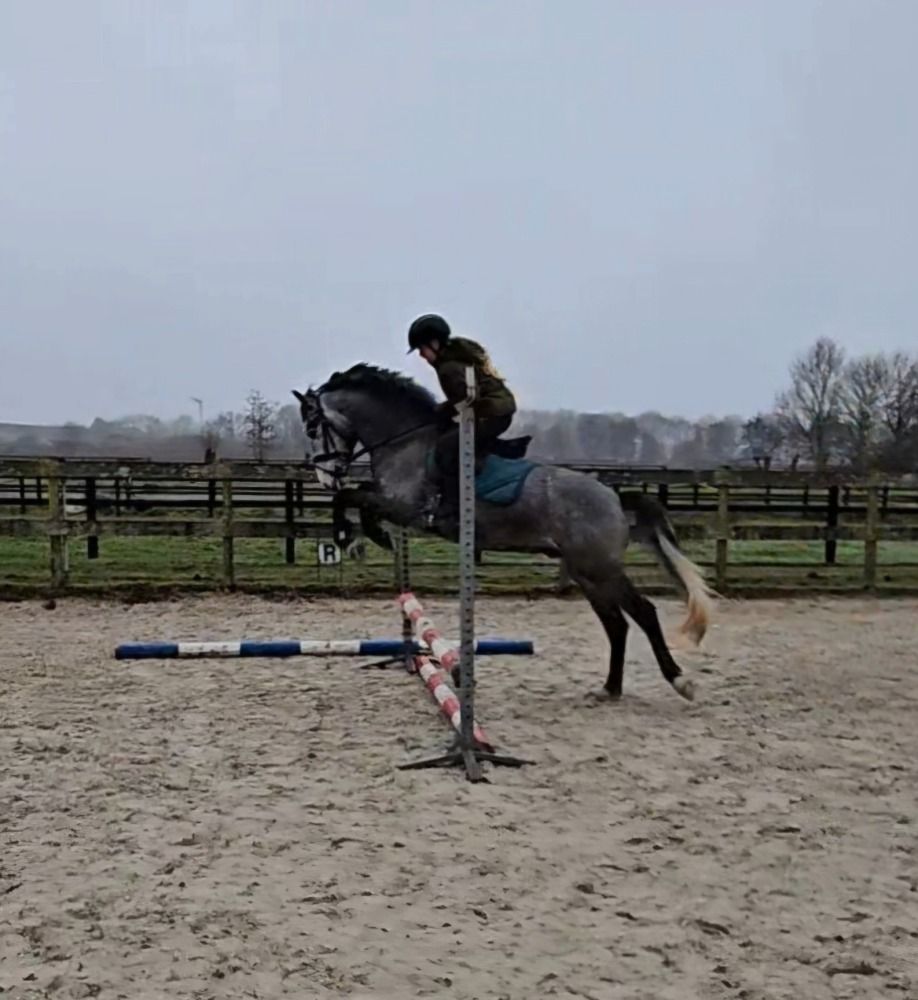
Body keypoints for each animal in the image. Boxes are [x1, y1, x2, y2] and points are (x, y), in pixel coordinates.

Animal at [293, 363, 716, 702]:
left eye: (313, 427)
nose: (323, 476)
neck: (406, 442)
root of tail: (613, 496)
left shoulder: (405, 508)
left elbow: (352, 496)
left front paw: (356, 536)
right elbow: (354, 495)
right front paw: (362, 534)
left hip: (600, 568)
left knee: (642, 613)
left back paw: (678, 681)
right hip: (586, 573)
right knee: (616, 623)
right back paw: (610, 688)